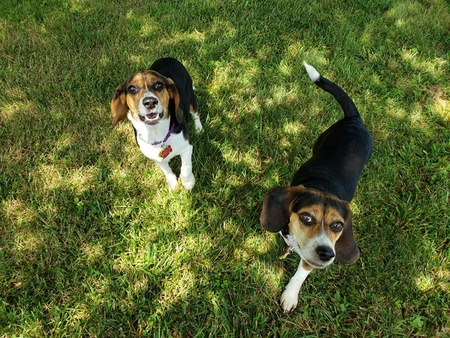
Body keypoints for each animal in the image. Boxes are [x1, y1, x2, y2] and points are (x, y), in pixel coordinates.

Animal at [111, 57, 203, 190]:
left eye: (158, 85)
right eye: (132, 89)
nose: (150, 102)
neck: (156, 133)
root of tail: (169, 58)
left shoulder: (187, 146)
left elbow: (186, 167)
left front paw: (188, 182)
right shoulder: (156, 158)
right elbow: (167, 170)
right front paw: (172, 183)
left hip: (190, 97)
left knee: (195, 113)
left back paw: (199, 128)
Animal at [260, 62, 372, 312]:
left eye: (338, 225)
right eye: (307, 217)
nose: (327, 254)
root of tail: (354, 119)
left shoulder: (311, 259)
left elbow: (301, 273)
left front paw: (290, 295)